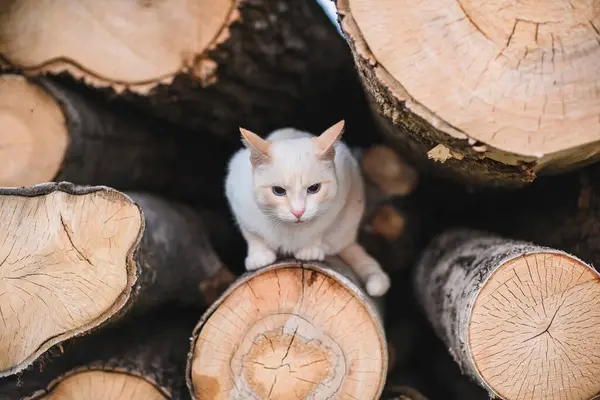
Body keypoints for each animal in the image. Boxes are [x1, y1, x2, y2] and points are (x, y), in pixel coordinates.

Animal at [224, 120, 390, 296]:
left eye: (314, 188)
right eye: (278, 191)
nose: (298, 211)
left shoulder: (342, 193)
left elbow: (320, 231)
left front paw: (310, 248)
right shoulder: (236, 196)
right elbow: (253, 236)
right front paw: (259, 255)